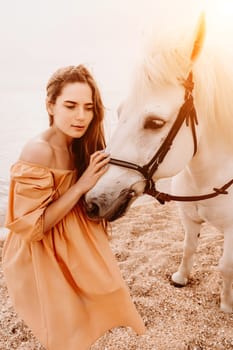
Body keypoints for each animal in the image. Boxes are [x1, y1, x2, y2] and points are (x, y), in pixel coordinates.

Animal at [84, 15, 233, 314]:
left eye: (155, 122)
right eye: (119, 113)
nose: (92, 202)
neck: (207, 179)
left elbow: (226, 267)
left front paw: (226, 305)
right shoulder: (188, 217)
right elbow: (188, 248)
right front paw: (181, 278)